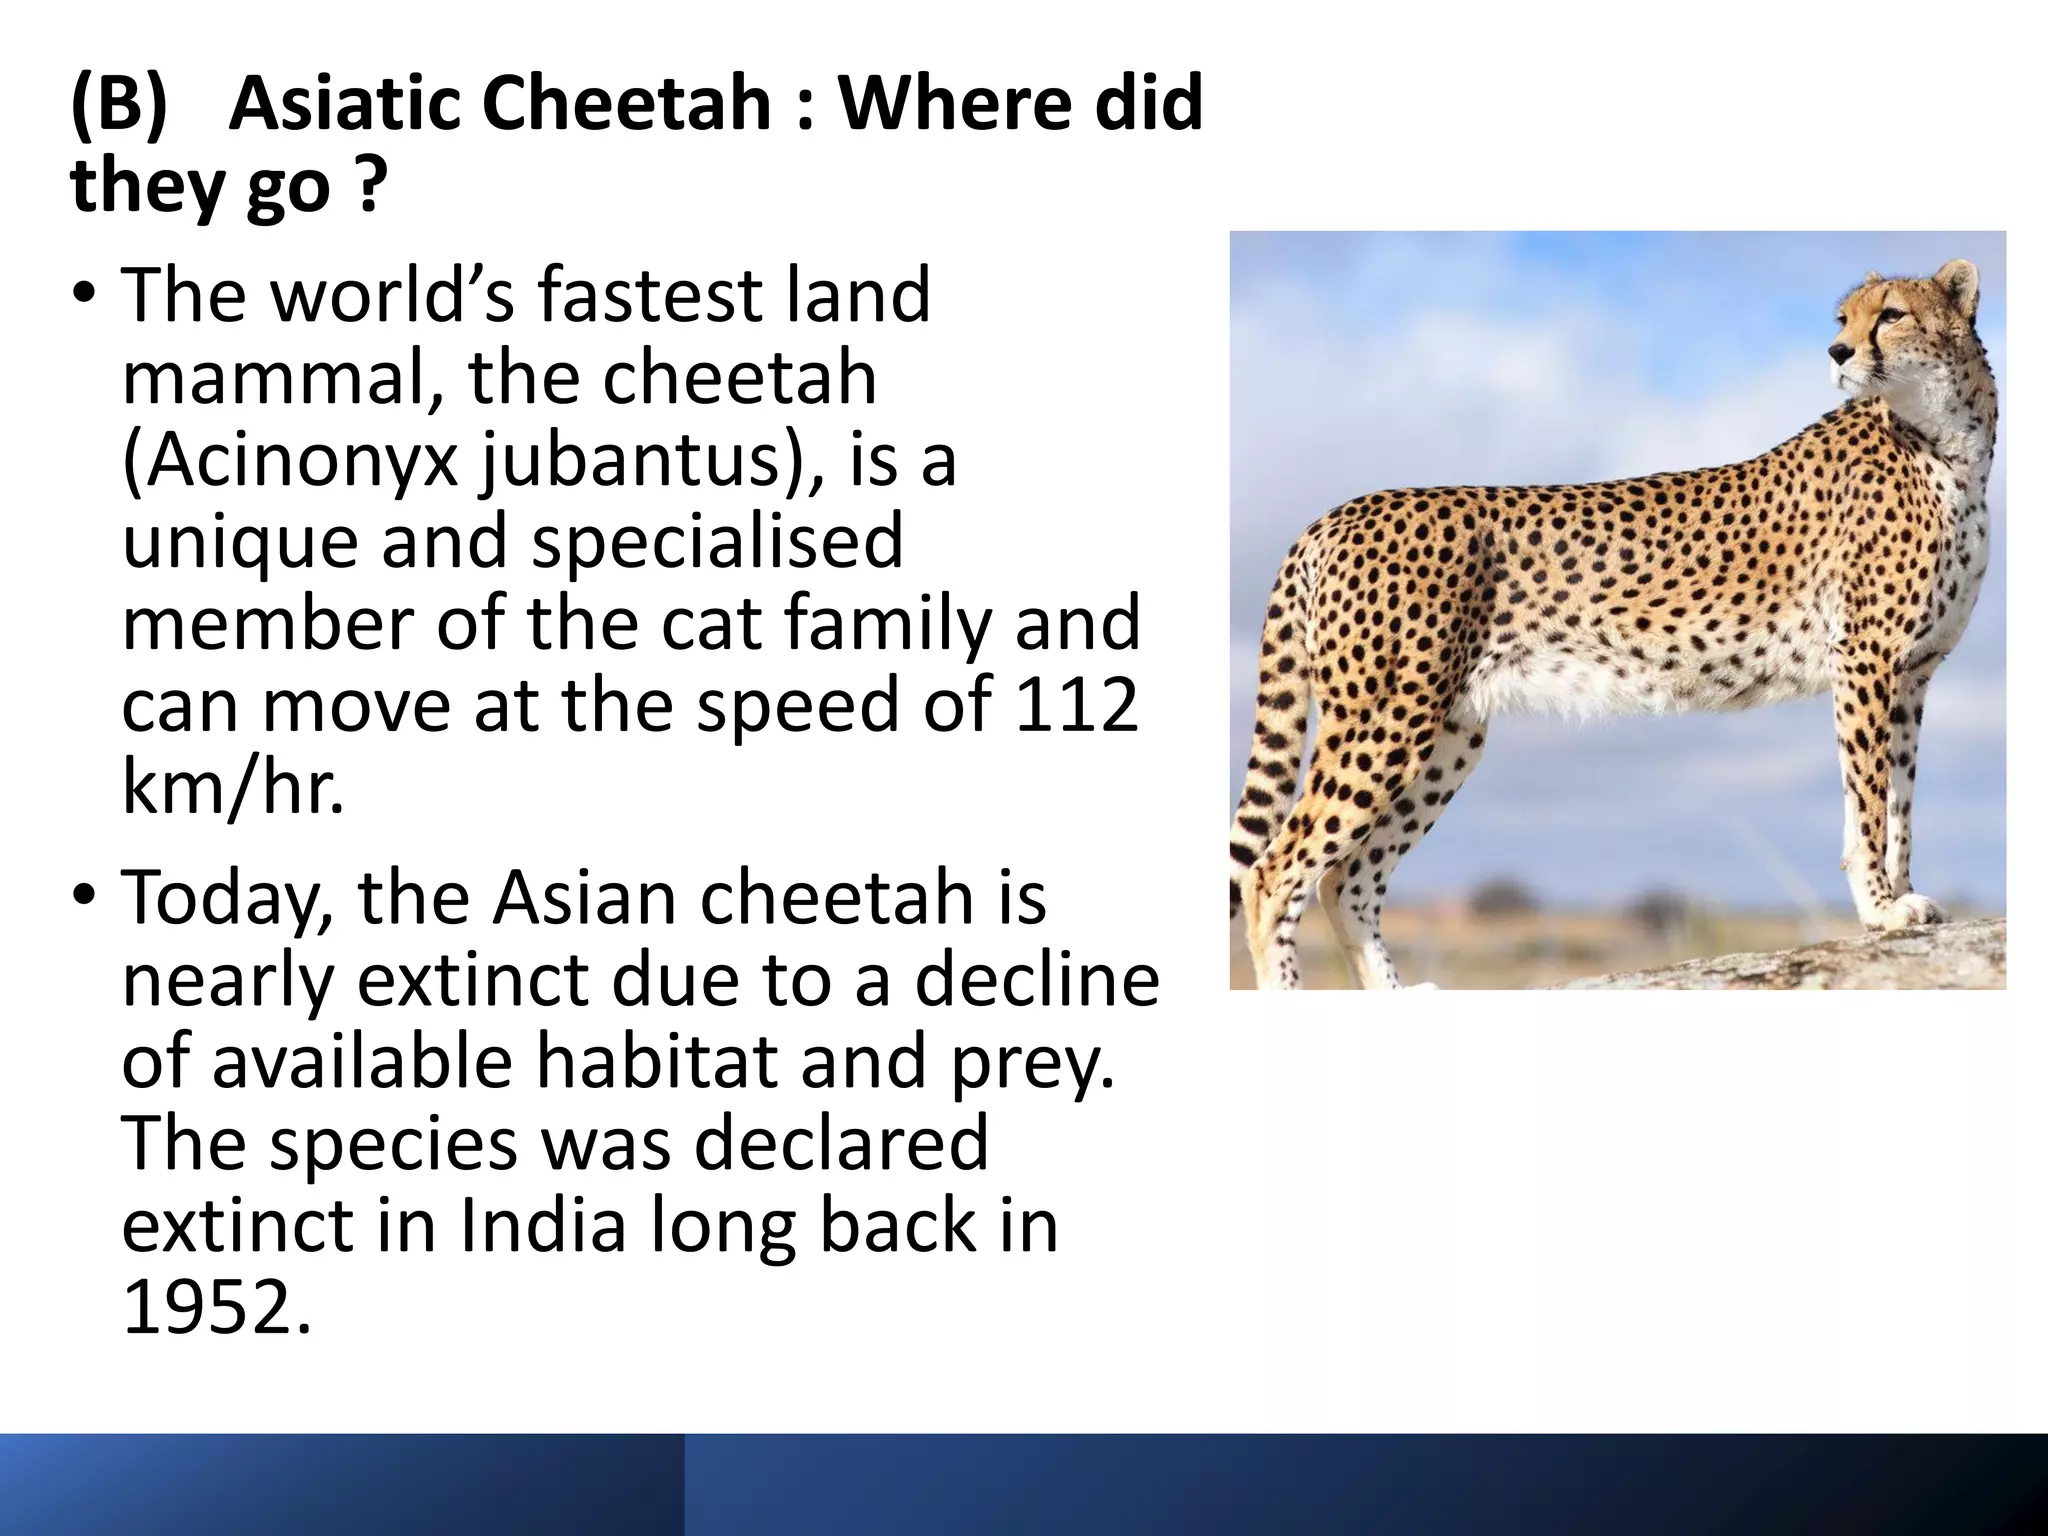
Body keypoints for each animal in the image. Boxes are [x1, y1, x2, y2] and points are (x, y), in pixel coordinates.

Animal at [1229, 260, 1996, 989]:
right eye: (1843, 320)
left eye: (1890, 315)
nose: (1837, 351)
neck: (1948, 441)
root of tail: (1336, 513)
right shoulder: (1866, 661)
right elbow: (1867, 798)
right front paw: (1879, 909)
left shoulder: (1912, 674)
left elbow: (1898, 799)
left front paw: (1904, 896)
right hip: (1387, 716)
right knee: (1274, 872)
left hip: (1448, 732)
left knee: (1345, 878)